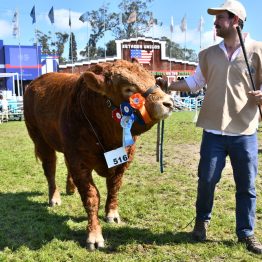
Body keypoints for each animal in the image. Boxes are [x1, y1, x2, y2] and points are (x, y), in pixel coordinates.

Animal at [23, 59, 173, 250]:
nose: (168, 102)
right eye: (128, 89)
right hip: (40, 140)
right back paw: (54, 197)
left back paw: (70, 188)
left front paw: (112, 214)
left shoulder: (124, 159)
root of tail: (34, 83)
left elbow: (114, 187)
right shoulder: (79, 162)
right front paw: (94, 235)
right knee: (50, 168)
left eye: (153, 80)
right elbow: (92, 196)